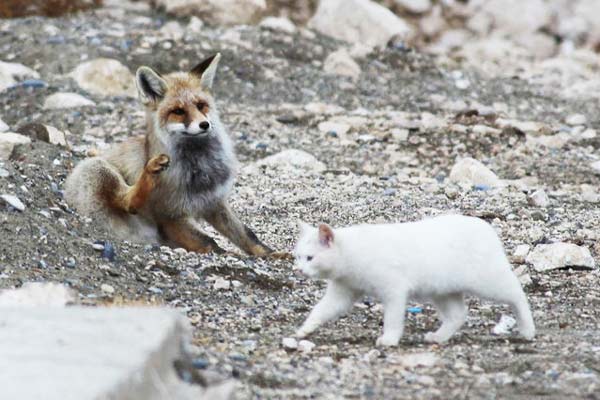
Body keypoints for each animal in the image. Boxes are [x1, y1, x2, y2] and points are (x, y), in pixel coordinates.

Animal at [64, 54, 276, 256]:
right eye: (178, 111)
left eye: (201, 105)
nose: (204, 124)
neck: (200, 170)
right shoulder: (169, 215)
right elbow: (209, 243)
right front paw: (230, 255)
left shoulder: (214, 202)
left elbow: (247, 235)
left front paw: (271, 255)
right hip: (96, 168)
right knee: (128, 202)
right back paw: (150, 171)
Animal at [294, 214, 536, 346]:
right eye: (297, 256)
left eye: (310, 258)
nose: (299, 270)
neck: (351, 253)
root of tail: (486, 226)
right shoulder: (343, 291)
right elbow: (321, 310)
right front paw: (304, 329)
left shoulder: (393, 289)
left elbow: (392, 318)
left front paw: (389, 339)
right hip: (442, 290)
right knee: (458, 314)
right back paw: (439, 337)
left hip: (487, 281)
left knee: (516, 293)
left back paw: (527, 328)